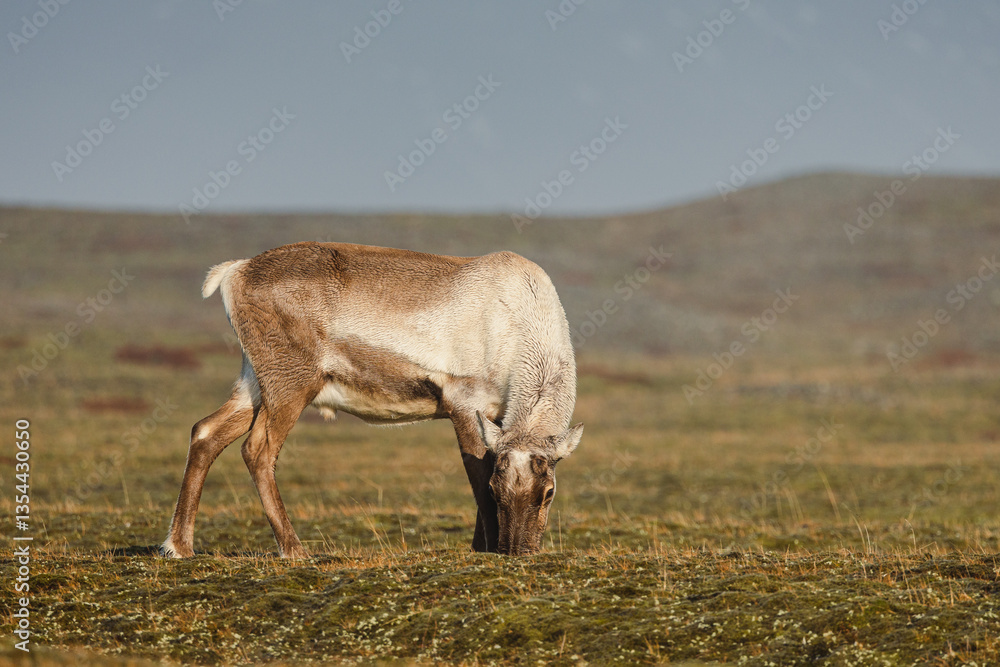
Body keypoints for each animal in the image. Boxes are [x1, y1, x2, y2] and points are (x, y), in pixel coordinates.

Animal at [161, 242, 583, 558]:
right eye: (500, 490)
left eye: (548, 492)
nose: (519, 552)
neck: (520, 323)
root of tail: (236, 271)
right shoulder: (465, 405)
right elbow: (477, 477)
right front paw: (486, 548)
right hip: (292, 385)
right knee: (257, 449)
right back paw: (294, 549)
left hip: (254, 383)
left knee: (205, 432)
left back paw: (179, 546)